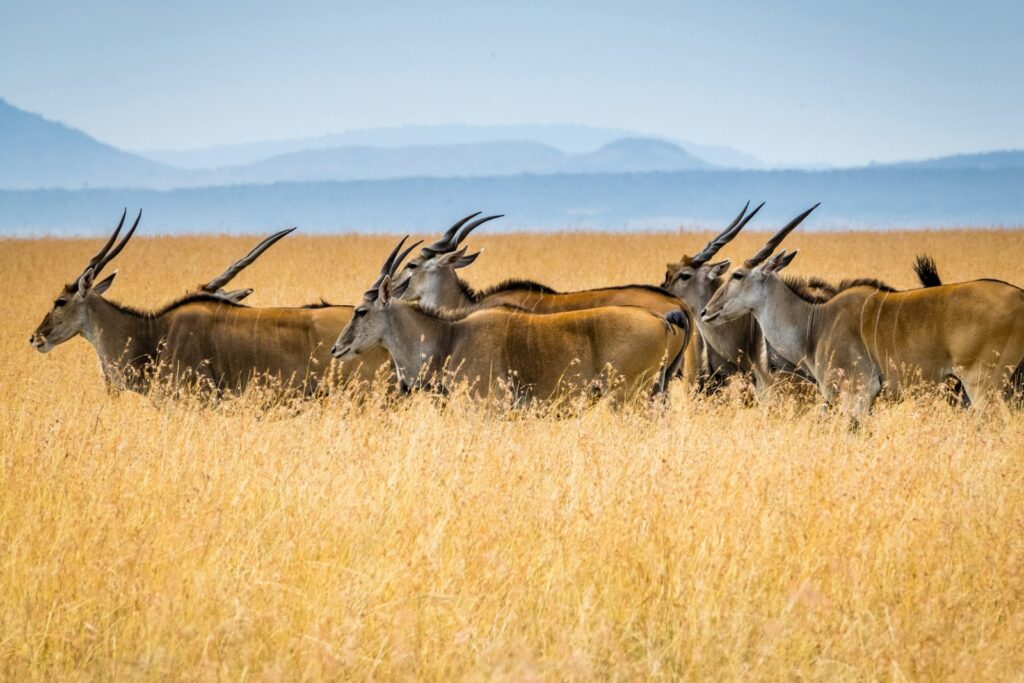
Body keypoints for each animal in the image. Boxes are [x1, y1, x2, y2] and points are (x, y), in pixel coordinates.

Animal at [700, 215, 1024, 418]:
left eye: (738, 275)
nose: (706, 312)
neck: (815, 322)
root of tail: (1020, 296)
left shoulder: (858, 393)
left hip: (984, 386)